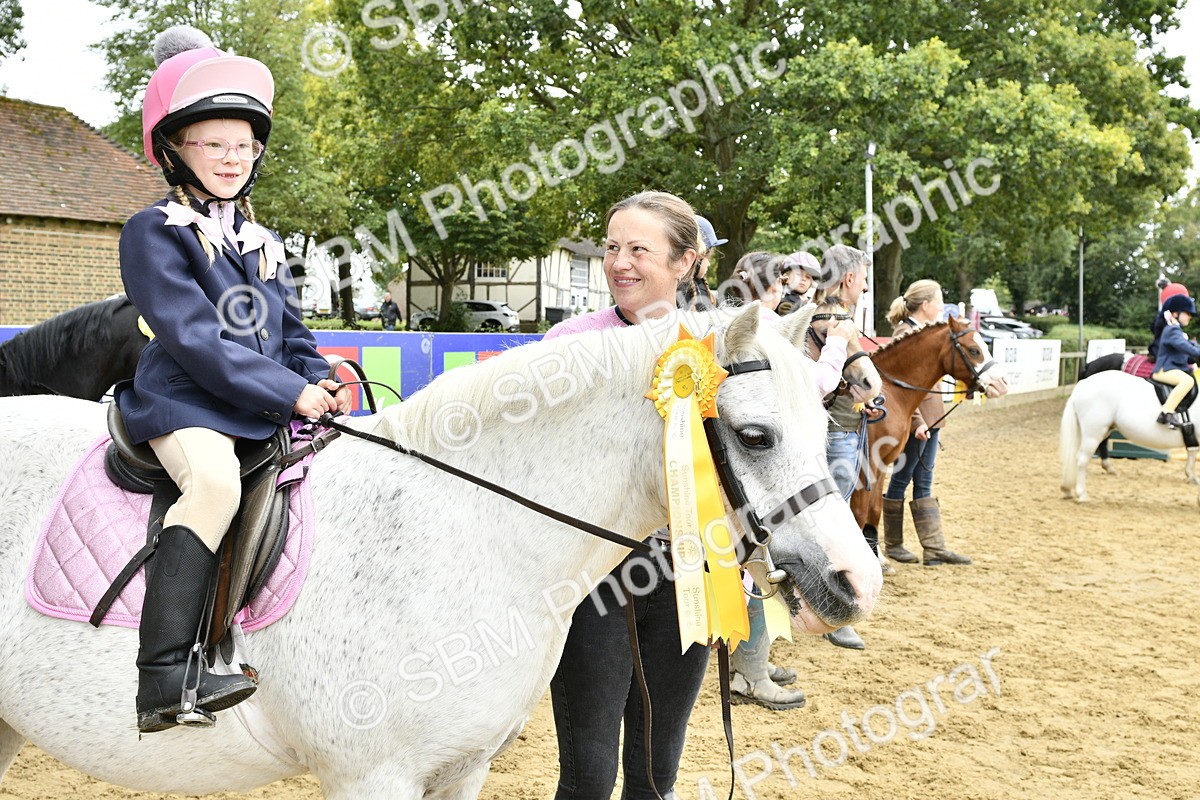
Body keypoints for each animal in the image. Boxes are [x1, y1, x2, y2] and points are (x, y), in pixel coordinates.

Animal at [848, 318, 1010, 547]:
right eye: (974, 350)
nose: (1002, 384)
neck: (890, 393)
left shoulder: (882, 465)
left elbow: (874, 511)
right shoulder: (865, 467)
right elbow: (858, 514)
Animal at [1060, 370, 1200, 503]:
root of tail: (1083, 384)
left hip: (1097, 431)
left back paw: (1068, 490)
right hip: (1093, 434)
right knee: (1082, 459)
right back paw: (1082, 495)